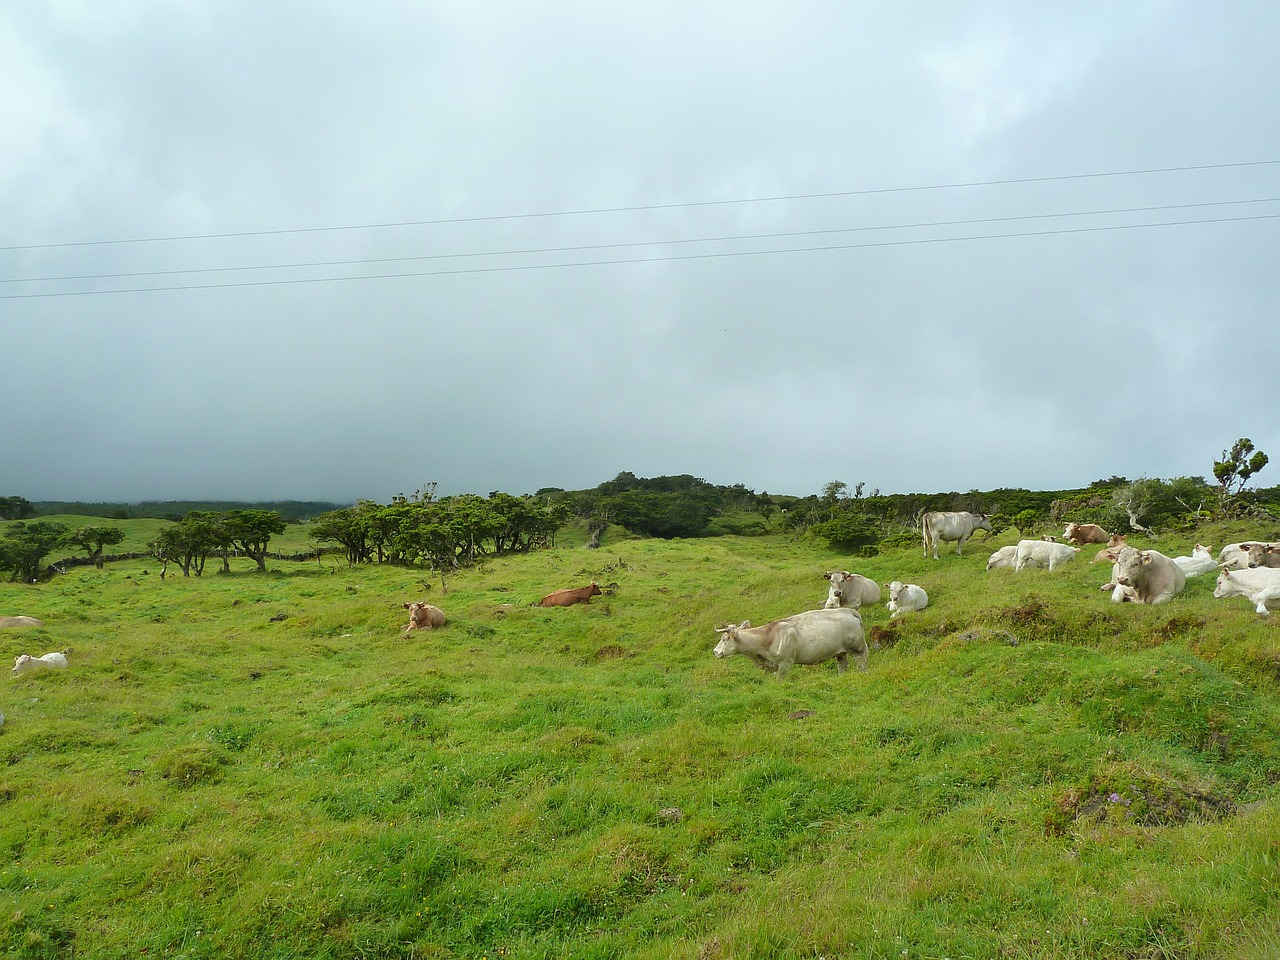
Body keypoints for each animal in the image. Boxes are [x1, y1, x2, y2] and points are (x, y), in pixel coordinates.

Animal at [711, 611, 870, 680]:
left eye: (725, 639)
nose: (715, 652)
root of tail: (849, 611)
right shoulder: (774, 665)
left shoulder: (784, 664)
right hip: (840, 653)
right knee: (842, 665)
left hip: (858, 649)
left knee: (861, 664)